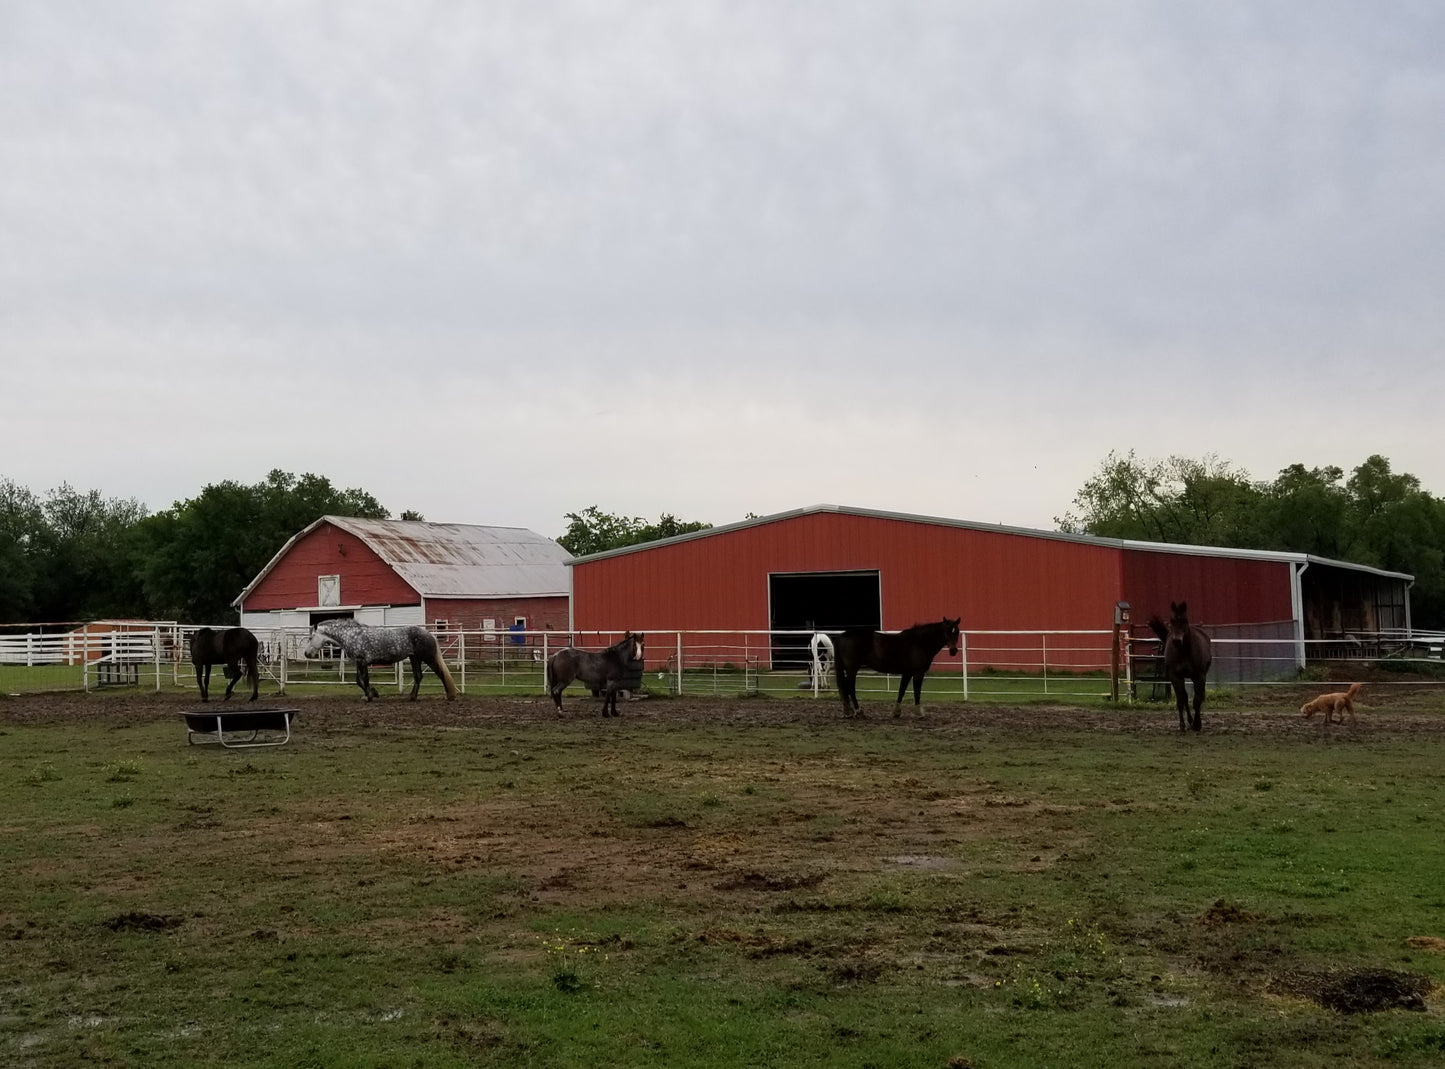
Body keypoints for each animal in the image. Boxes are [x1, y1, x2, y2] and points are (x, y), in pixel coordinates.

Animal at [302, 619, 459, 701]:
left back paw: (450, 696)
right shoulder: (359, 662)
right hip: (415, 658)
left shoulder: (362, 661)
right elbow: (359, 681)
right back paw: (412, 697)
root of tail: (429, 634)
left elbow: (364, 680)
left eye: (311, 637)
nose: (306, 653)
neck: (352, 635)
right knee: (418, 676)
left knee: (441, 674)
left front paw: (370, 696)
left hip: (428, 658)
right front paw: (372, 693)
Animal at [1149, 601, 1212, 732]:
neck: (1184, 653)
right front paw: (1182, 725)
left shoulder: (1199, 677)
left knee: (1199, 697)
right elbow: (1181, 700)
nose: (1177, 641)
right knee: (1185, 697)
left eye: (1184, 620)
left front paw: (1197, 725)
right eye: (1172, 620)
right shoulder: (1175, 677)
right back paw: (1189, 721)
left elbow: (1197, 700)